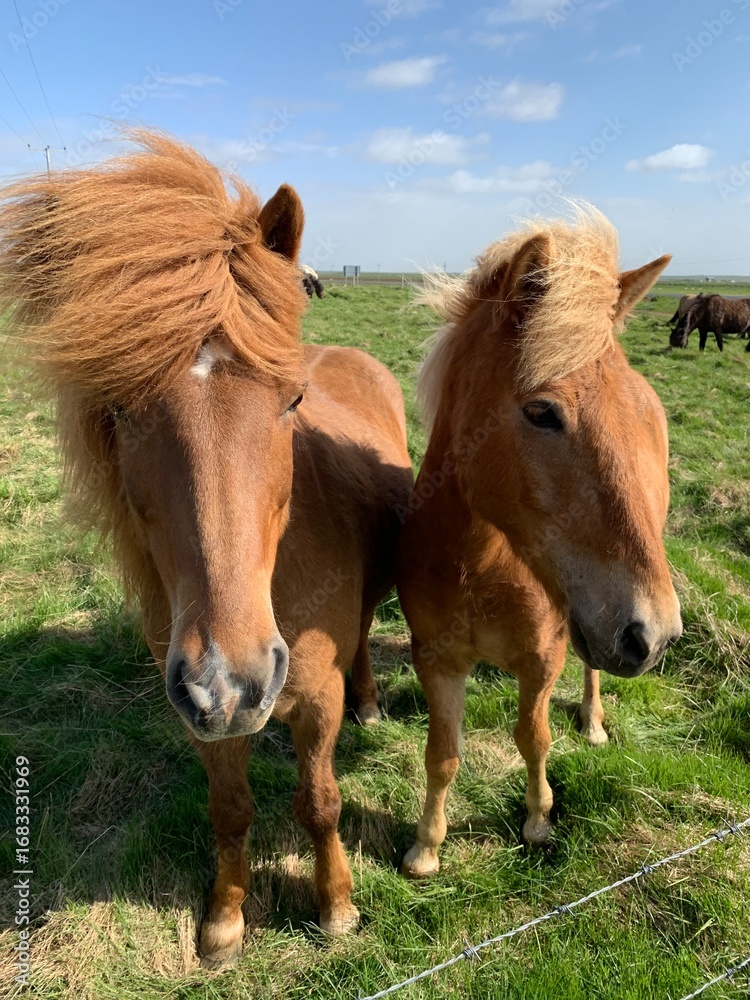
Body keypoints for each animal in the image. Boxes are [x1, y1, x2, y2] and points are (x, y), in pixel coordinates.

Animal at [0, 130, 413, 966]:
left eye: (292, 400)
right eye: (121, 410)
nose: (232, 680)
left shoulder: (313, 702)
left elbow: (320, 802)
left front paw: (336, 906)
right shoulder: (202, 718)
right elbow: (231, 810)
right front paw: (224, 920)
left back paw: (371, 702)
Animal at [396, 207, 682, 877]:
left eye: (631, 412)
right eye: (542, 412)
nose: (657, 635)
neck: (479, 563)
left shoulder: (544, 657)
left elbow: (534, 737)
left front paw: (537, 820)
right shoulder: (437, 661)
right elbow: (442, 753)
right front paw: (426, 846)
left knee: (593, 668)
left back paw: (595, 722)